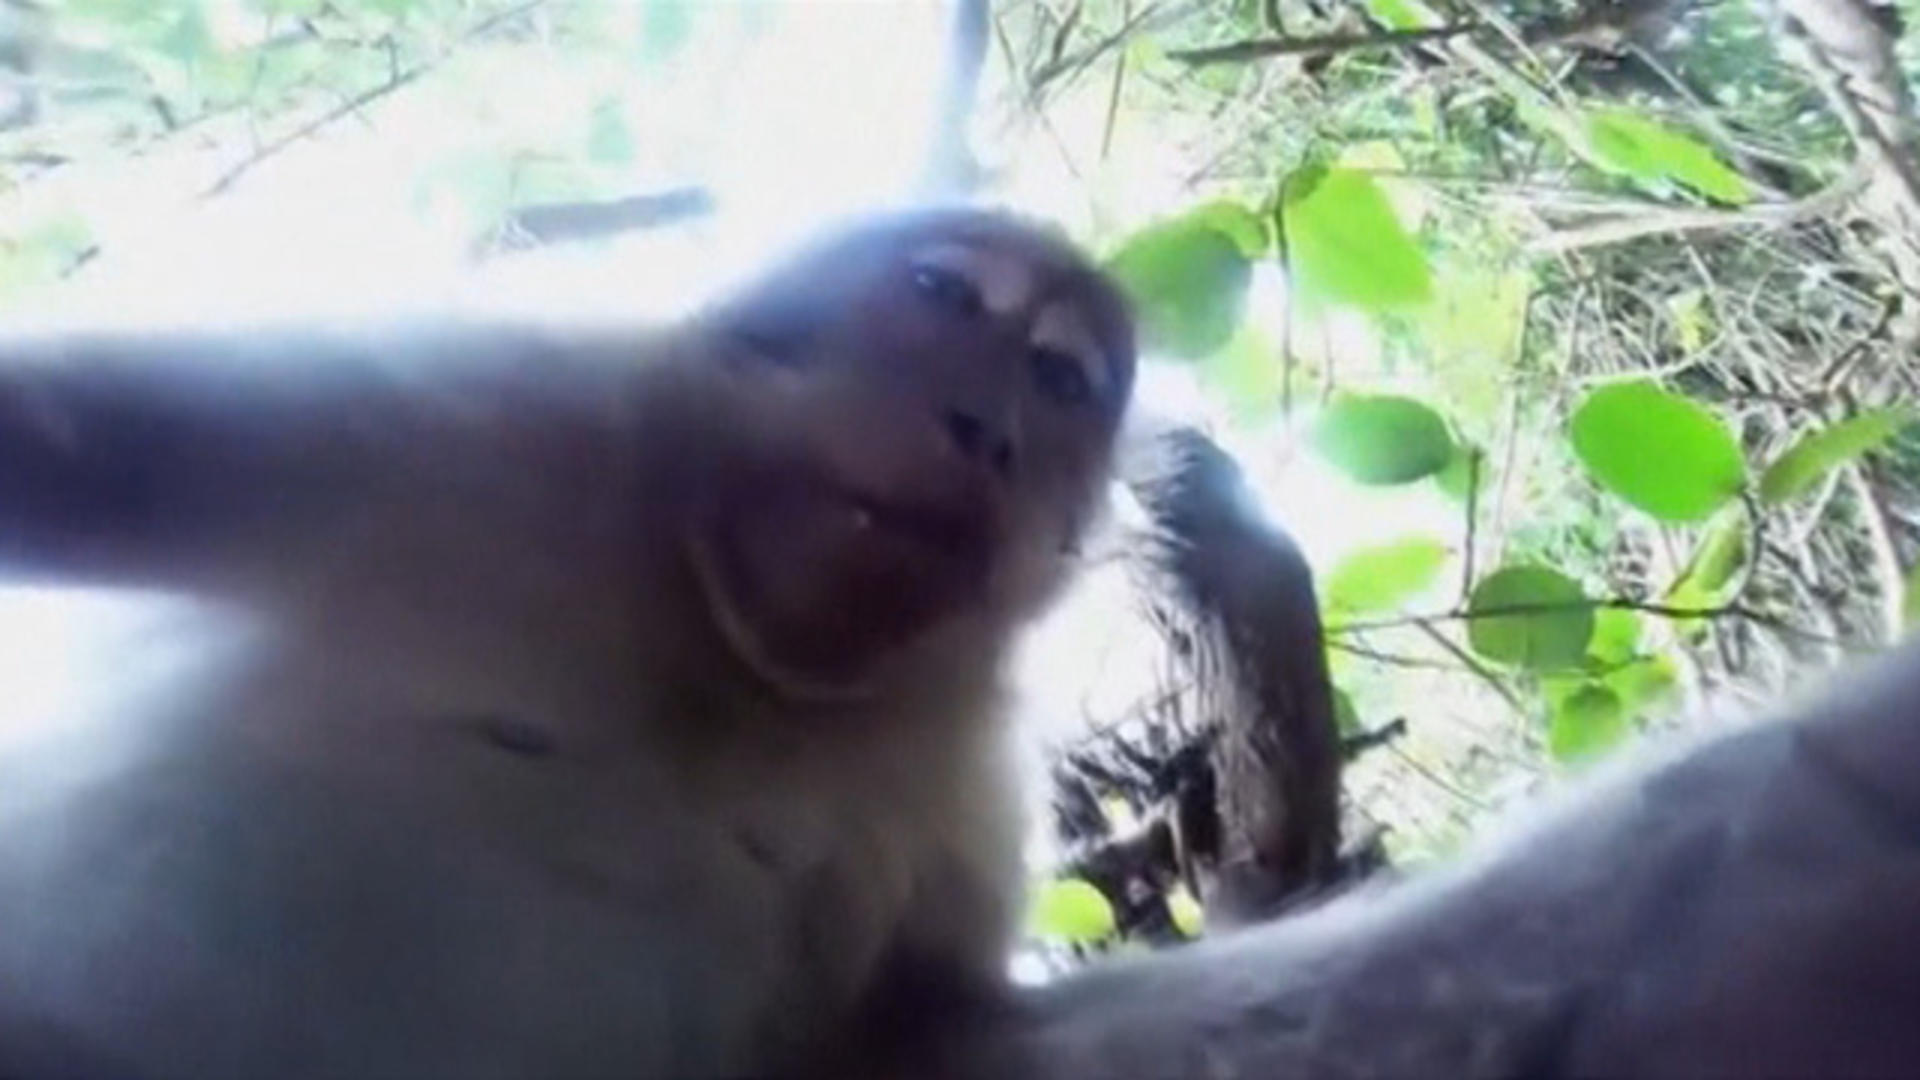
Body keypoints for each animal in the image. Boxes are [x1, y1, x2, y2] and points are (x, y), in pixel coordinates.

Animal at [0, 208, 1136, 1076]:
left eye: (1056, 379)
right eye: (943, 294)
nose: (987, 432)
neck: (717, 646)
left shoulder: (954, 788)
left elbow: (915, 1036)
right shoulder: (503, 412)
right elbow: (65, 447)